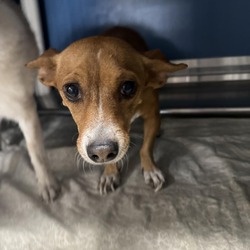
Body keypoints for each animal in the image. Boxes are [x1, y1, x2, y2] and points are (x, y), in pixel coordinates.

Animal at [27, 27, 188, 195]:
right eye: (71, 89)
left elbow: (146, 147)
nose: (102, 151)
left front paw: (150, 170)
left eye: (128, 87)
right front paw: (110, 173)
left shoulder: (151, 116)